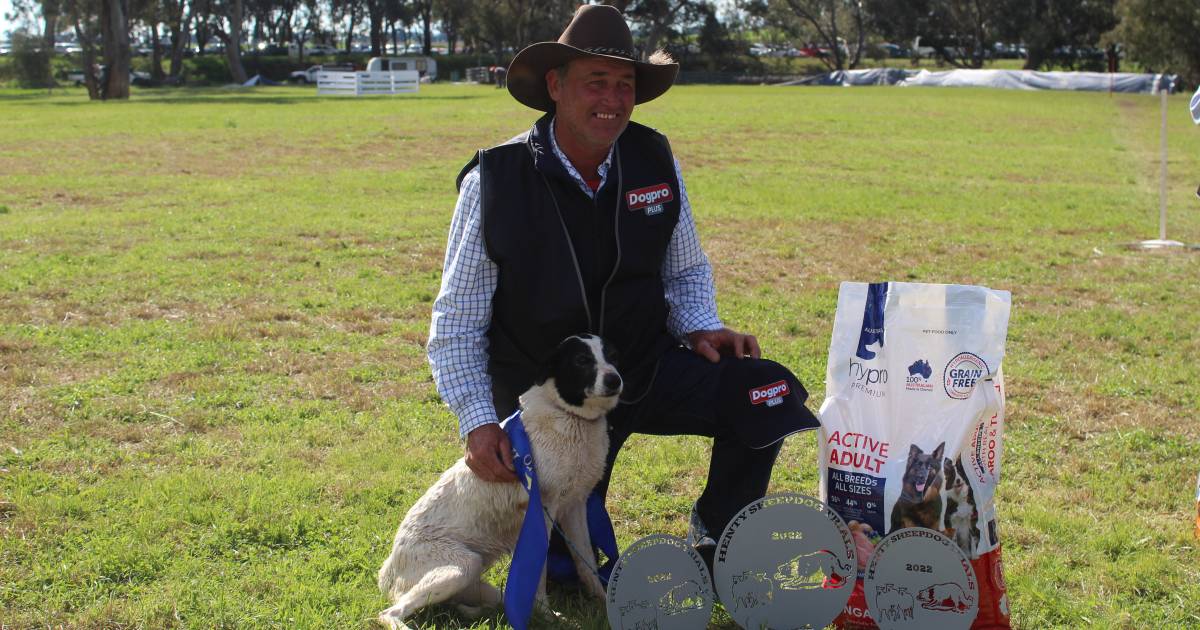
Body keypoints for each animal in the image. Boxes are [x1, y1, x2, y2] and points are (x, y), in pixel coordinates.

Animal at [376, 333, 624, 628]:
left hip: (472, 581)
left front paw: (603, 603)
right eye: (582, 360)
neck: (569, 416)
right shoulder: (540, 513)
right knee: (389, 612)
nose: (615, 380)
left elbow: (586, 564)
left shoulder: (574, 507)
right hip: (460, 567)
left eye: (612, 355)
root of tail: (388, 568)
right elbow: (537, 573)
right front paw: (545, 615)